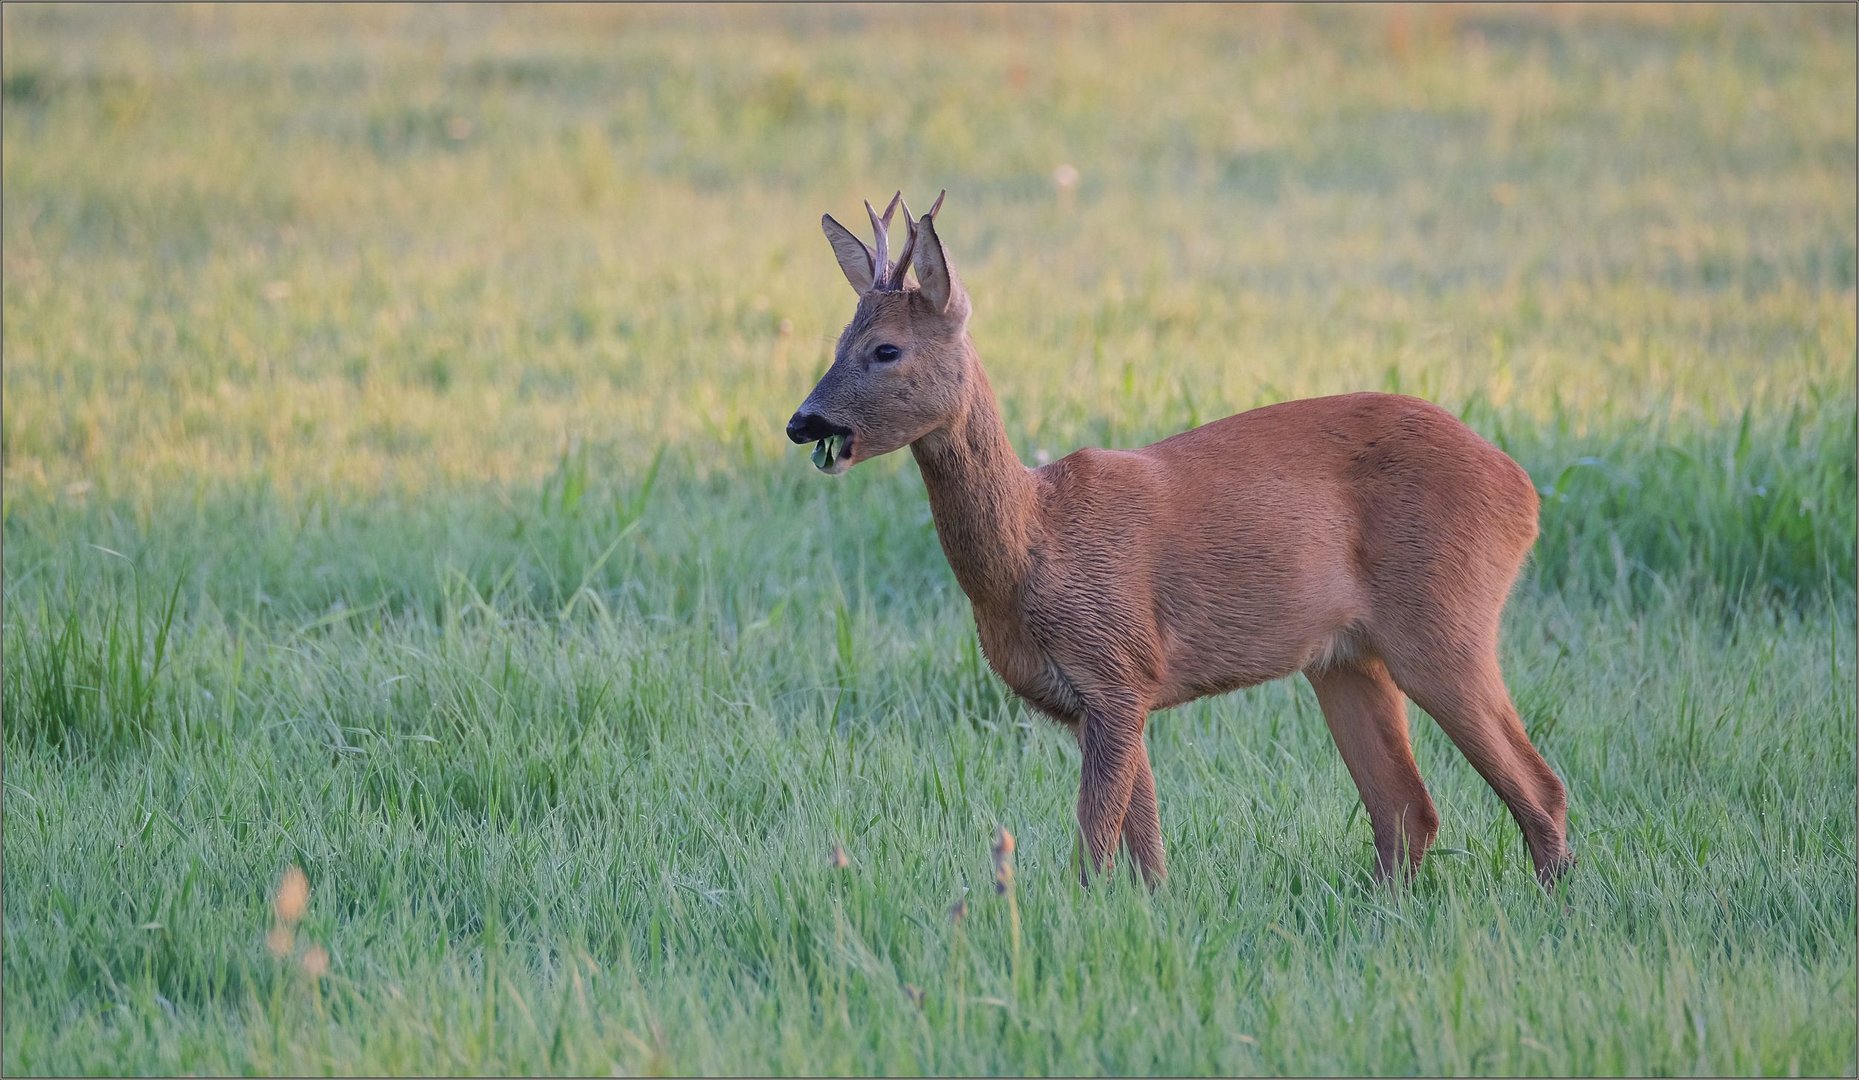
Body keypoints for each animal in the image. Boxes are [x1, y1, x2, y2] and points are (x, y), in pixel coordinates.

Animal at [784, 193, 1568, 884]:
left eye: (886, 349)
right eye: (838, 342)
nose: (802, 422)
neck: (1032, 547)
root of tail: (1523, 492)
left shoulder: (1115, 667)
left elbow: (1095, 850)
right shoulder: (1107, 696)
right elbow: (1148, 852)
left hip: (1443, 619)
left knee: (1539, 786)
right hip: (1346, 658)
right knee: (1407, 809)